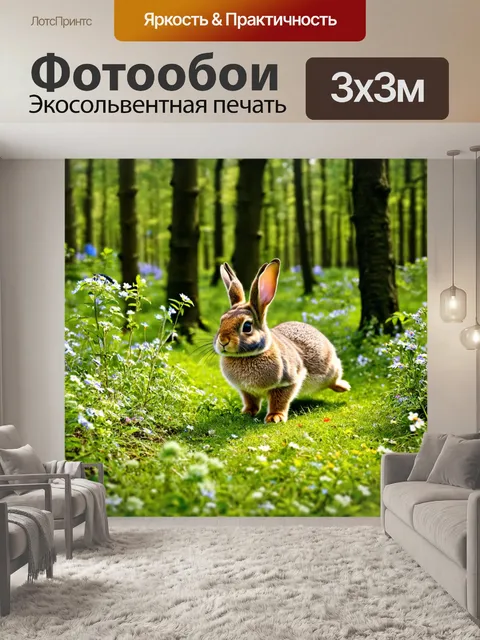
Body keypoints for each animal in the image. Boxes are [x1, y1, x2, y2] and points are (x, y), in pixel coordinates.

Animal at [214, 258, 350, 424]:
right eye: (221, 322)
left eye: (247, 326)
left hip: (332, 368)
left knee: (334, 379)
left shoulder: (288, 381)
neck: (249, 356)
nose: (223, 341)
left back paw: (344, 387)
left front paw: (274, 417)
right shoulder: (246, 390)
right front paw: (246, 413)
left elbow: (280, 401)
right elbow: (250, 401)